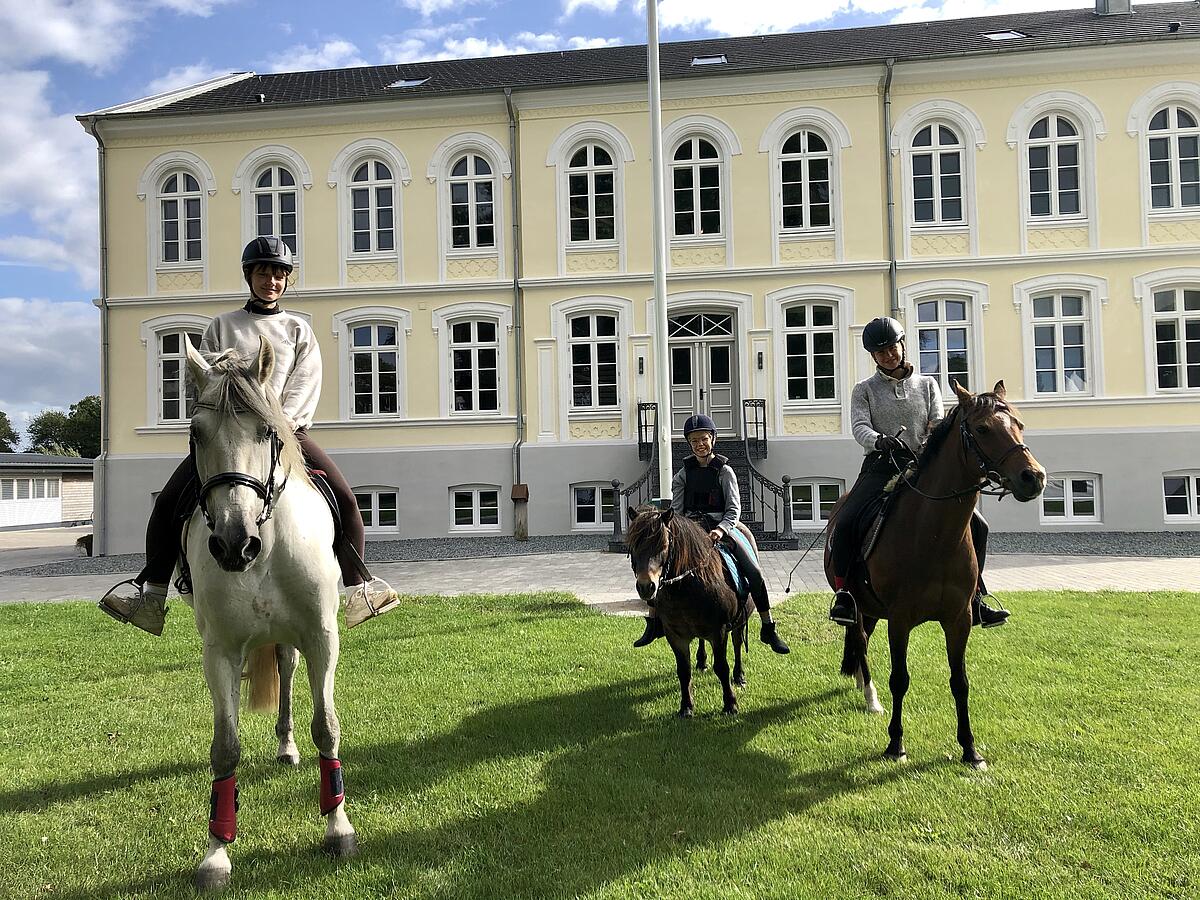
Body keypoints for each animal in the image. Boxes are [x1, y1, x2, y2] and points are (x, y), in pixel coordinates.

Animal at [180, 340, 352, 897]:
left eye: (266, 431)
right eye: (196, 431)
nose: (234, 544)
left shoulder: (321, 637)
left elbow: (327, 727)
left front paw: (338, 827)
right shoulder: (220, 650)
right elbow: (225, 747)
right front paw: (216, 852)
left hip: (294, 637)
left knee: (288, 672)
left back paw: (287, 746)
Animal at [628, 508, 748, 720]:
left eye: (664, 545)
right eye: (634, 545)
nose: (646, 586)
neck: (686, 588)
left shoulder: (719, 632)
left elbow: (722, 667)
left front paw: (730, 704)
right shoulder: (675, 635)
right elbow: (683, 670)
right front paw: (686, 707)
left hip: (739, 623)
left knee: (737, 644)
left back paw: (739, 675)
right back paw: (701, 662)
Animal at [820, 381, 1046, 768]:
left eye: (1018, 423)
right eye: (983, 429)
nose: (1033, 477)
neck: (933, 534)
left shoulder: (959, 619)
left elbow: (960, 681)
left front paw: (970, 748)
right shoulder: (900, 620)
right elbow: (899, 679)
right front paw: (896, 744)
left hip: (871, 608)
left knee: (861, 638)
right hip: (859, 605)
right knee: (861, 641)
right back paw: (871, 696)